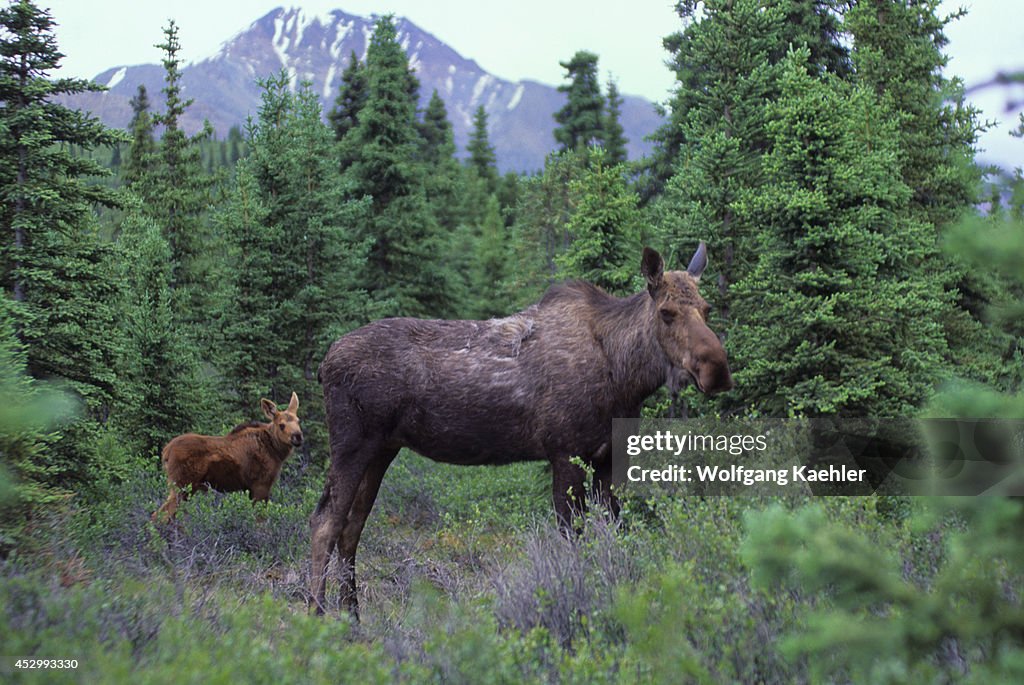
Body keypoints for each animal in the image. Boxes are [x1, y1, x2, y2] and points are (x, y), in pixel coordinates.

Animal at [151, 393, 301, 520]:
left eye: (298, 421)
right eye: (281, 425)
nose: (298, 436)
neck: (276, 451)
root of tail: (165, 452)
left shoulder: (249, 489)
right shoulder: (261, 485)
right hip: (181, 485)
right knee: (159, 516)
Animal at [307, 244, 733, 614]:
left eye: (707, 308)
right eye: (667, 312)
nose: (717, 371)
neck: (626, 377)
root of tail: (324, 364)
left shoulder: (610, 457)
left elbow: (611, 533)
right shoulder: (565, 452)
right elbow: (573, 539)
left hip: (382, 449)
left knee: (351, 528)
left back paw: (353, 617)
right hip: (352, 443)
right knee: (325, 522)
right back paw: (317, 615)